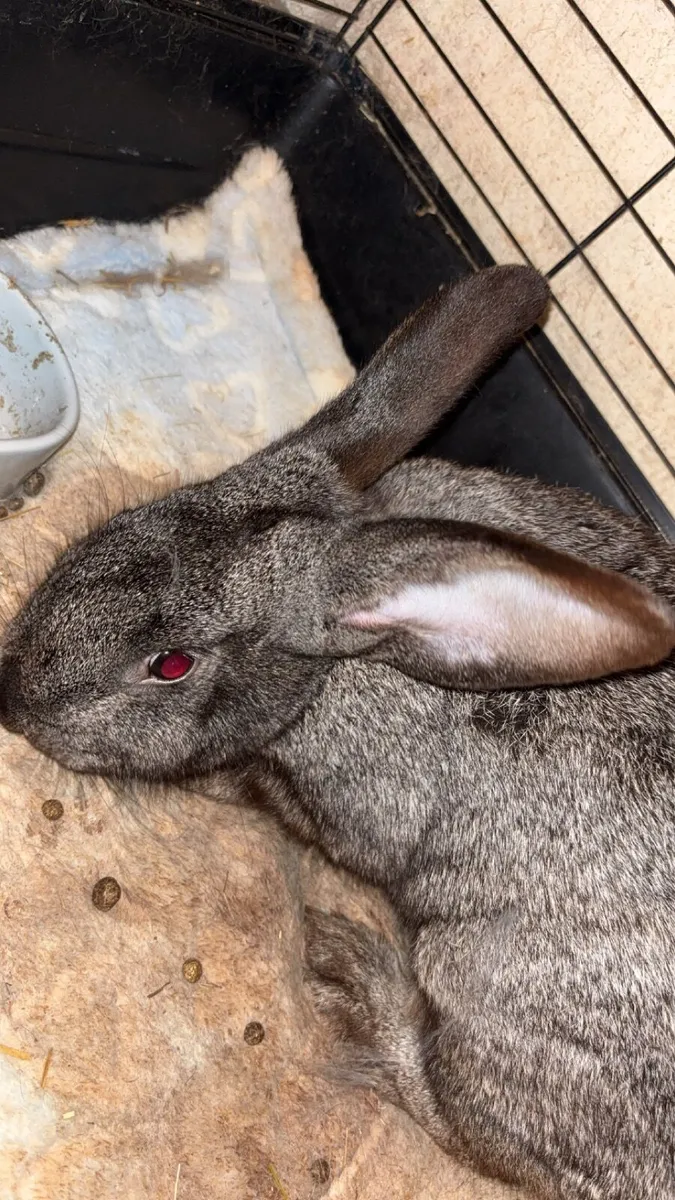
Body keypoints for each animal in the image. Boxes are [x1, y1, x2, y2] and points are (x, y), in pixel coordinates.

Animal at [1, 264, 675, 1199]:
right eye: (115, 528)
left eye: (169, 664)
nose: (11, 694)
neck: (336, 669)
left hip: (490, 993)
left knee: (468, 1124)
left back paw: (355, 974)